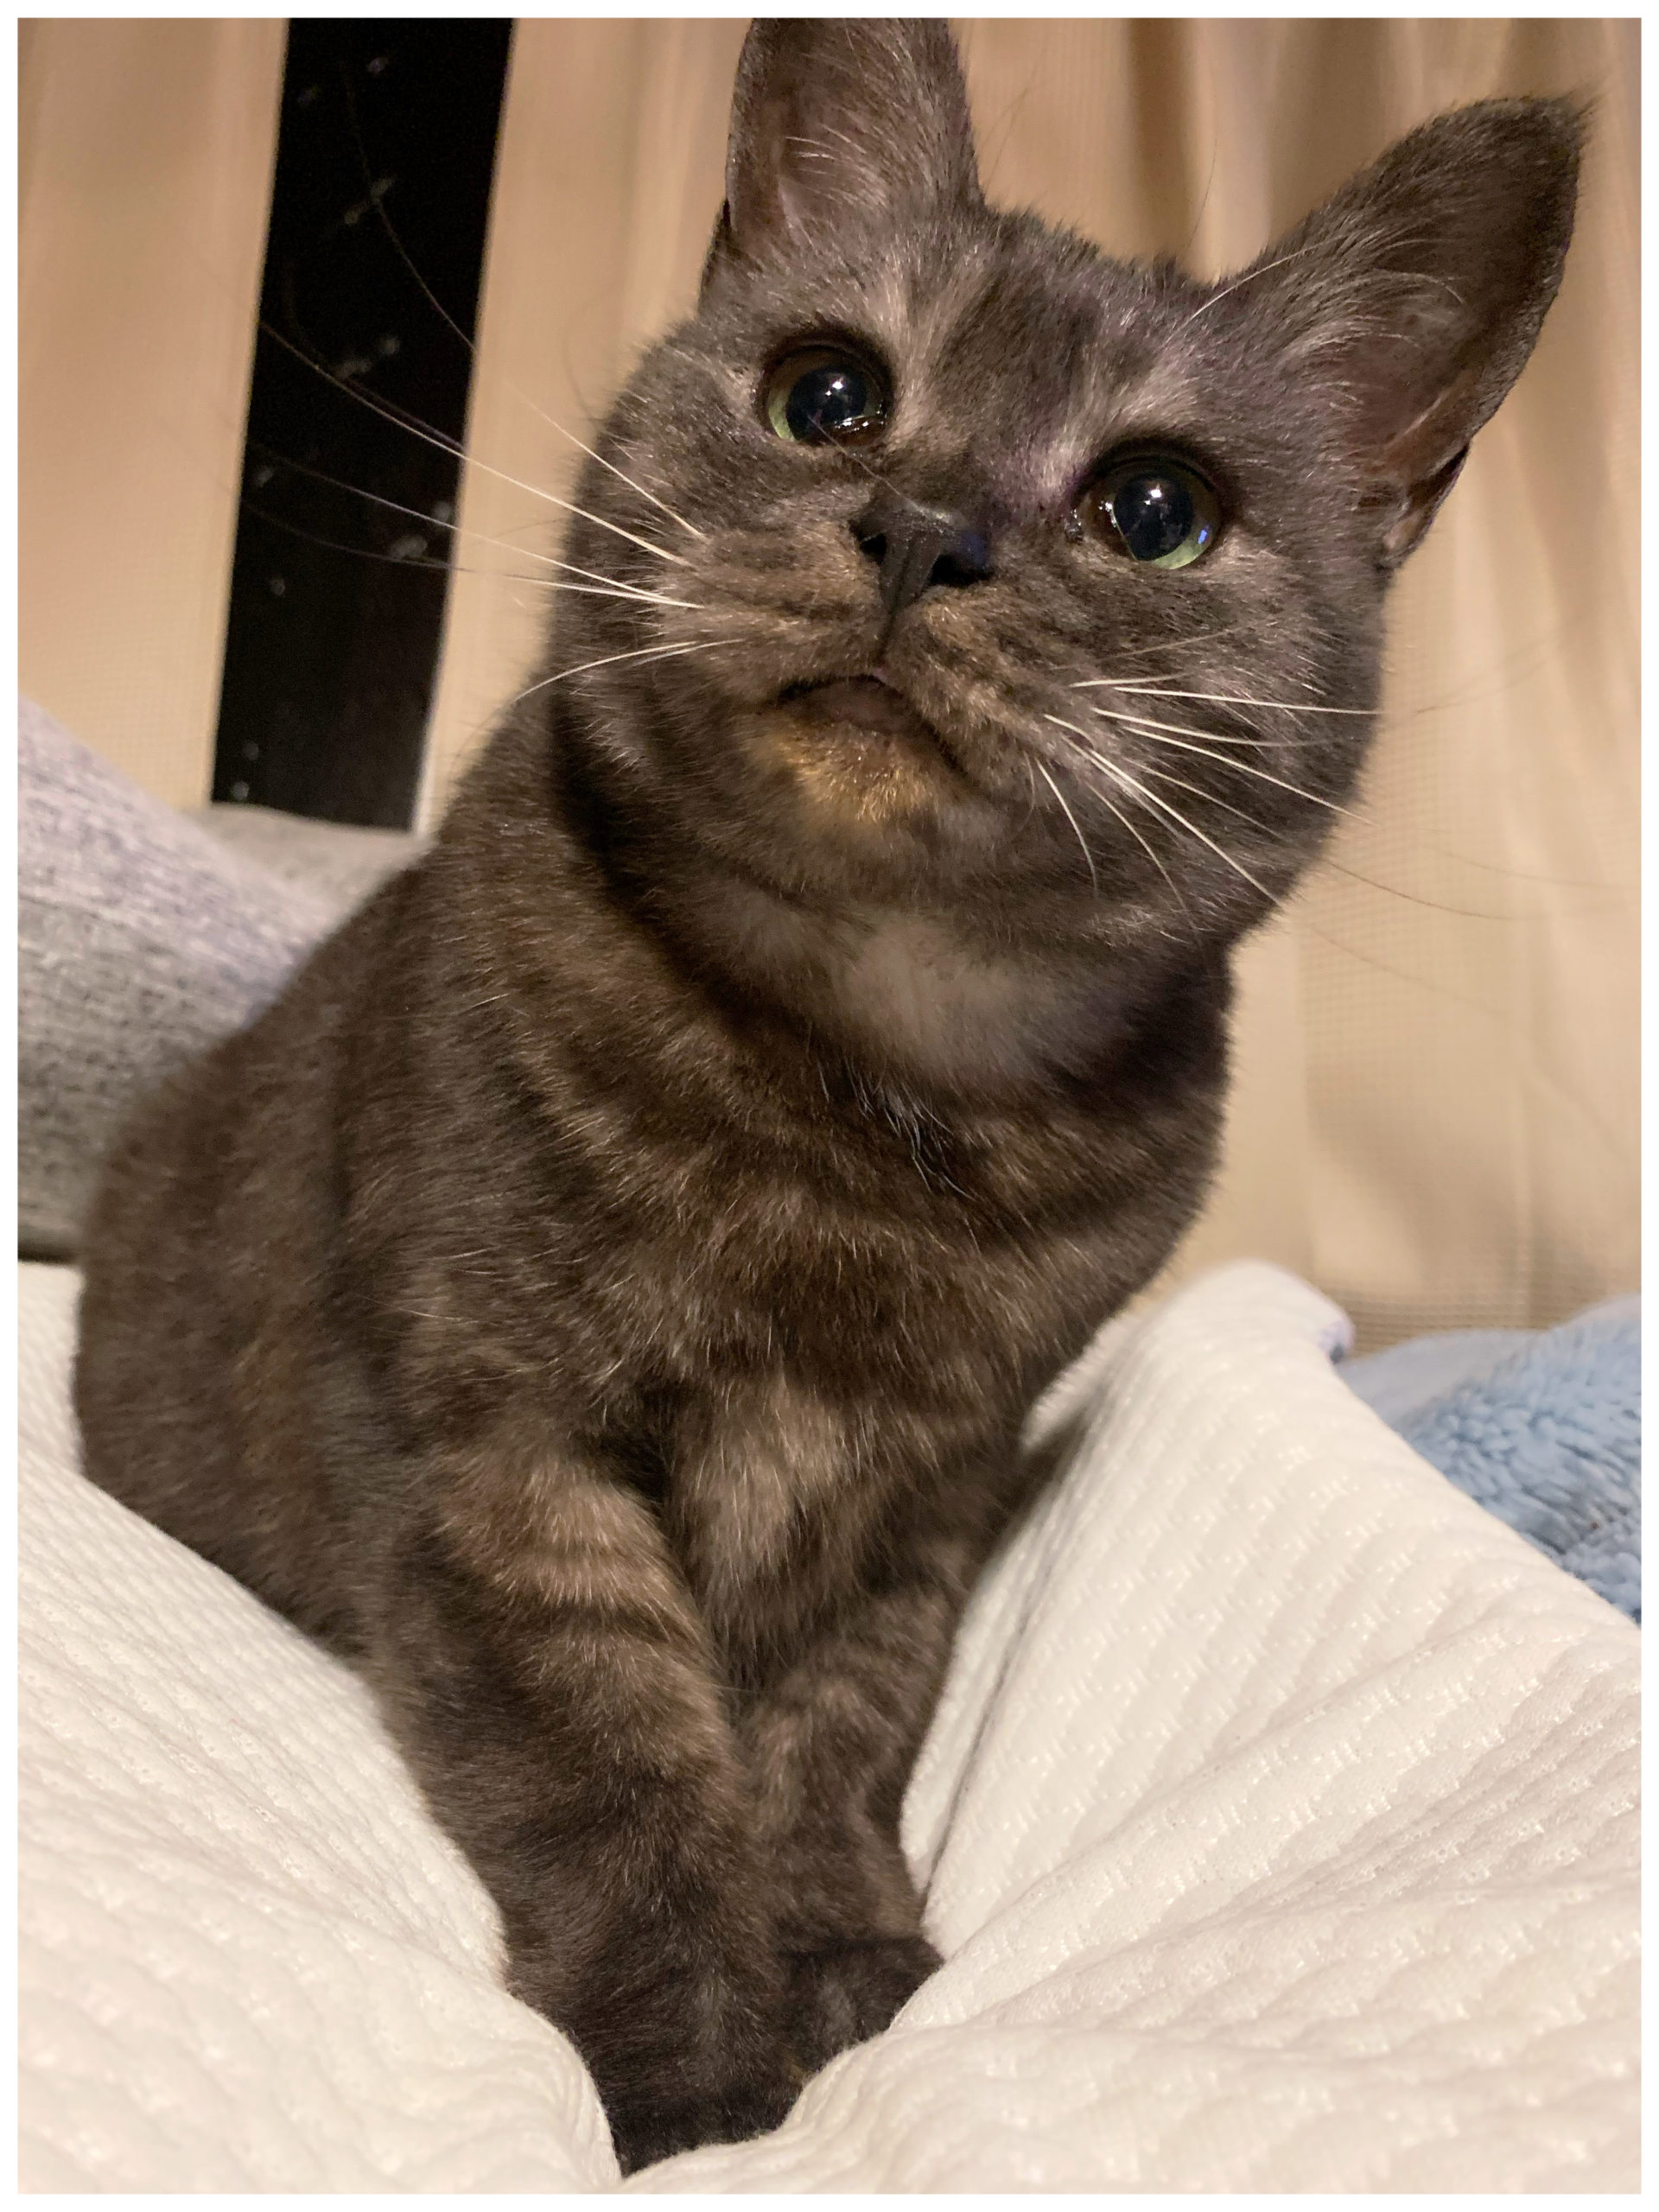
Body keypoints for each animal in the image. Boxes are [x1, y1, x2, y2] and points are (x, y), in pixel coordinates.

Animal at [74, 18, 1579, 2177]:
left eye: (1156, 505)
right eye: (830, 393)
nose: (927, 524)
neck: (871, 1092)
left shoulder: (923, 1490)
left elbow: (843, 1728)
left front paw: (849, 1952)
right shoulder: (500, 1456)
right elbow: (620, 1765)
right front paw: (702, 2083)